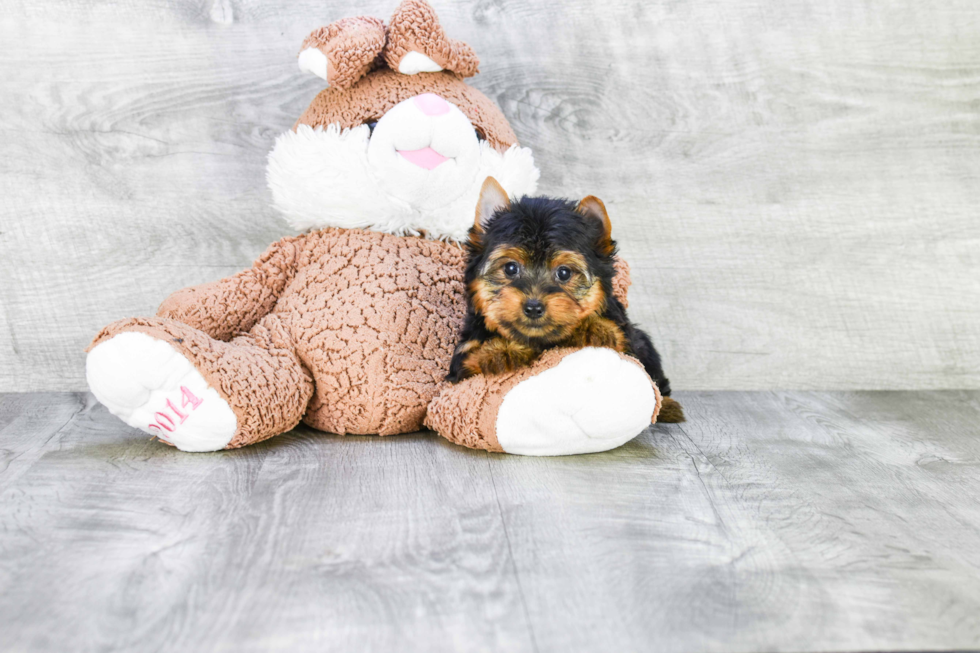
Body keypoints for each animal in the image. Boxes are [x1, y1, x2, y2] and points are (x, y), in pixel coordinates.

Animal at [448, 177, 684, 422]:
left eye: (564, 273)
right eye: (511, 268)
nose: (534, 307)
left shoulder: (627, 339)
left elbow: (622, 344)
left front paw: (594, 327)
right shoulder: (461, 363)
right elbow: (471, 360)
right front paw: (499, 350)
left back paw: (668, 407)